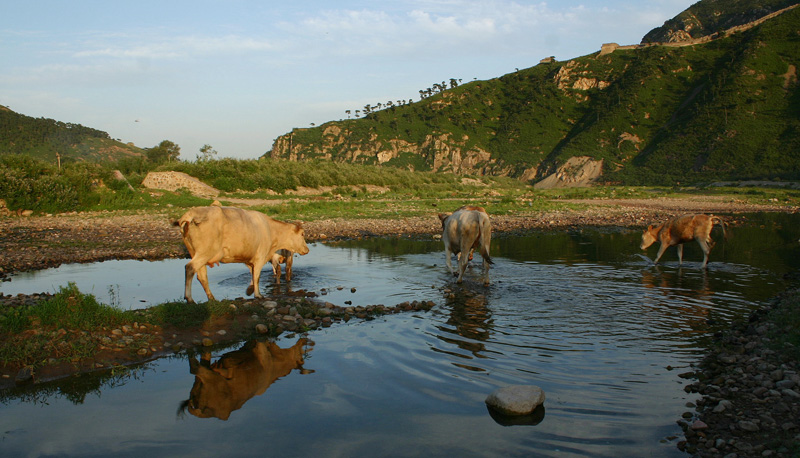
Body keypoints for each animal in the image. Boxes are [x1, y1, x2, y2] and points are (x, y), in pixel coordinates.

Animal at [175, 206, 310, 302]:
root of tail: (192, 213)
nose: (307, 249)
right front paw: (258, 295)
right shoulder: (260, 257)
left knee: (201, 276)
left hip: (196, 253)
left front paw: (249, 290)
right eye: (302, 234)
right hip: (205, 252)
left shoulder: (249, 259)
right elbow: (257, 276)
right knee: (190, 268)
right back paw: (190, 299)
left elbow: (253, 275)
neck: (272, 231)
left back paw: (211, 298)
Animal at [180, 338, 308, 420]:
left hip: (198, 384)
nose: (303, 340)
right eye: (301, 358)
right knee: (195, 368)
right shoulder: (260, 348)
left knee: (201, 363)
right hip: (211, 379)